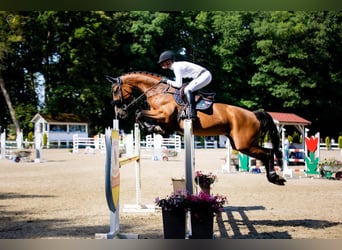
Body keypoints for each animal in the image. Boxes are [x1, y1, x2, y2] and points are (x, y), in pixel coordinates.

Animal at [109, 71, 286, 185]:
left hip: (244, 144)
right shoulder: (164, 120)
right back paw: (275, 177)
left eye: (116, 90)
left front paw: (152, 128)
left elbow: (139, 113)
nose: (119, 112)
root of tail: (253, 115)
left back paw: (275, 177)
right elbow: (143, 117)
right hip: (239, 144)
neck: (159, 92)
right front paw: (156, 129)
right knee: (266, 153)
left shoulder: (163, 115)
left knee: (268, 153)